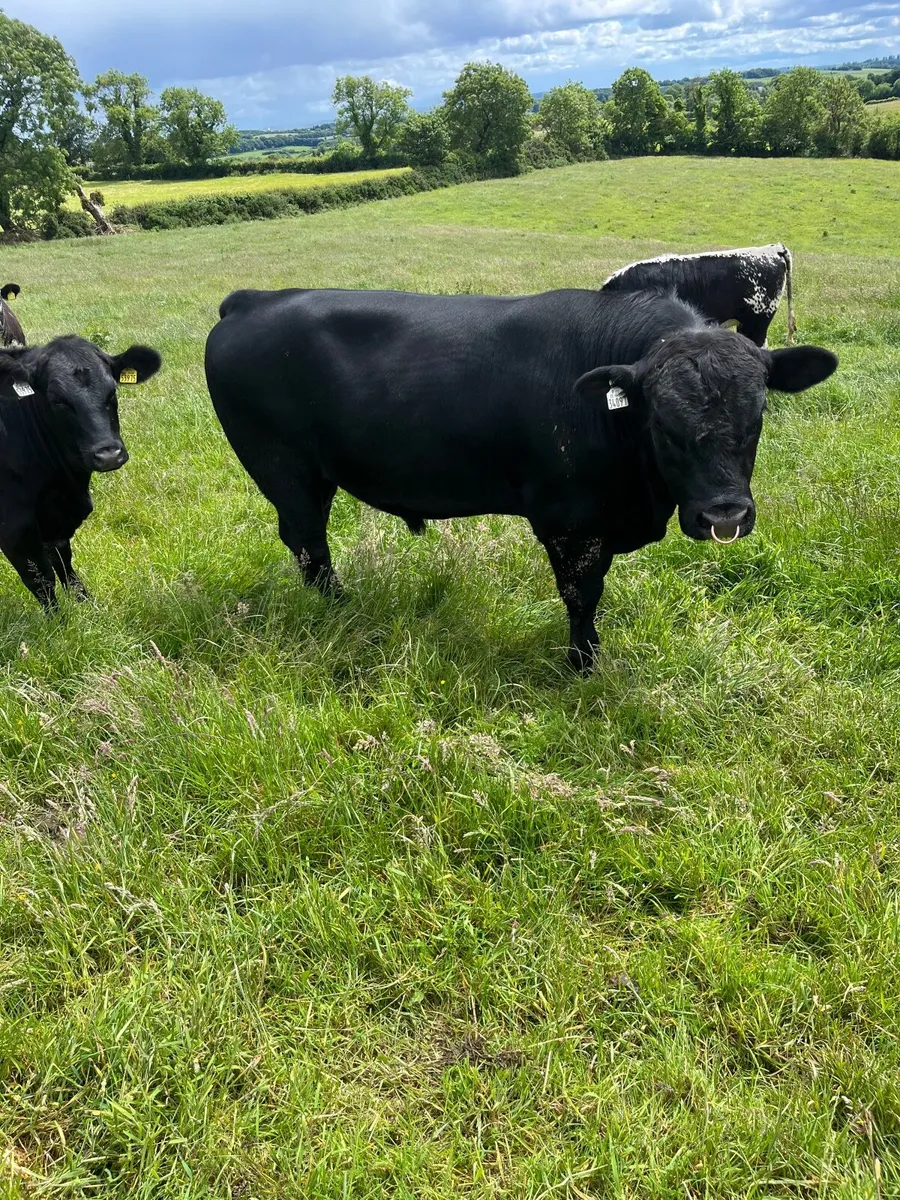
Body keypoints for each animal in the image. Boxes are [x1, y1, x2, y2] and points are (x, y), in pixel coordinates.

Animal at [0, 336, 162, 611]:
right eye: (58, 401)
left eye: (112, 392)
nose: (109, 455)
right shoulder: (14, 526)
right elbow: (40, 577)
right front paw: (58, 620)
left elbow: (63, 561)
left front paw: (86, 604)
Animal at [205, 286, 836, 671]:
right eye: (663, 422)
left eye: (757, 415)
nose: (725, 515)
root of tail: (252, 300)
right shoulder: (568, 520)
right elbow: (582, 595)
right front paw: (584, 664)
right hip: (282, 467)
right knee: (308, 543)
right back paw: (341, 610)